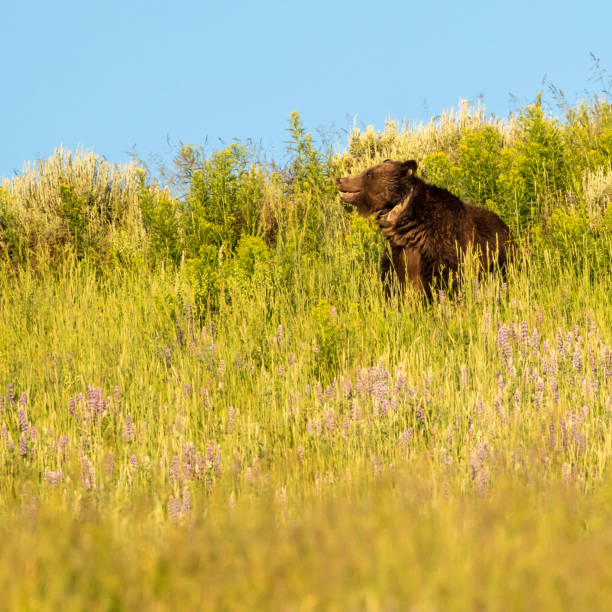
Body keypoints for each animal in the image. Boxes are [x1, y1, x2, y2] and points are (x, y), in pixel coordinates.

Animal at [338, 159, 510, 300]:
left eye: (369, 173)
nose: (340, 180)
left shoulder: (441, 247)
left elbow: (443, 281)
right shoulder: (400, 251)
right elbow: (393, 281)